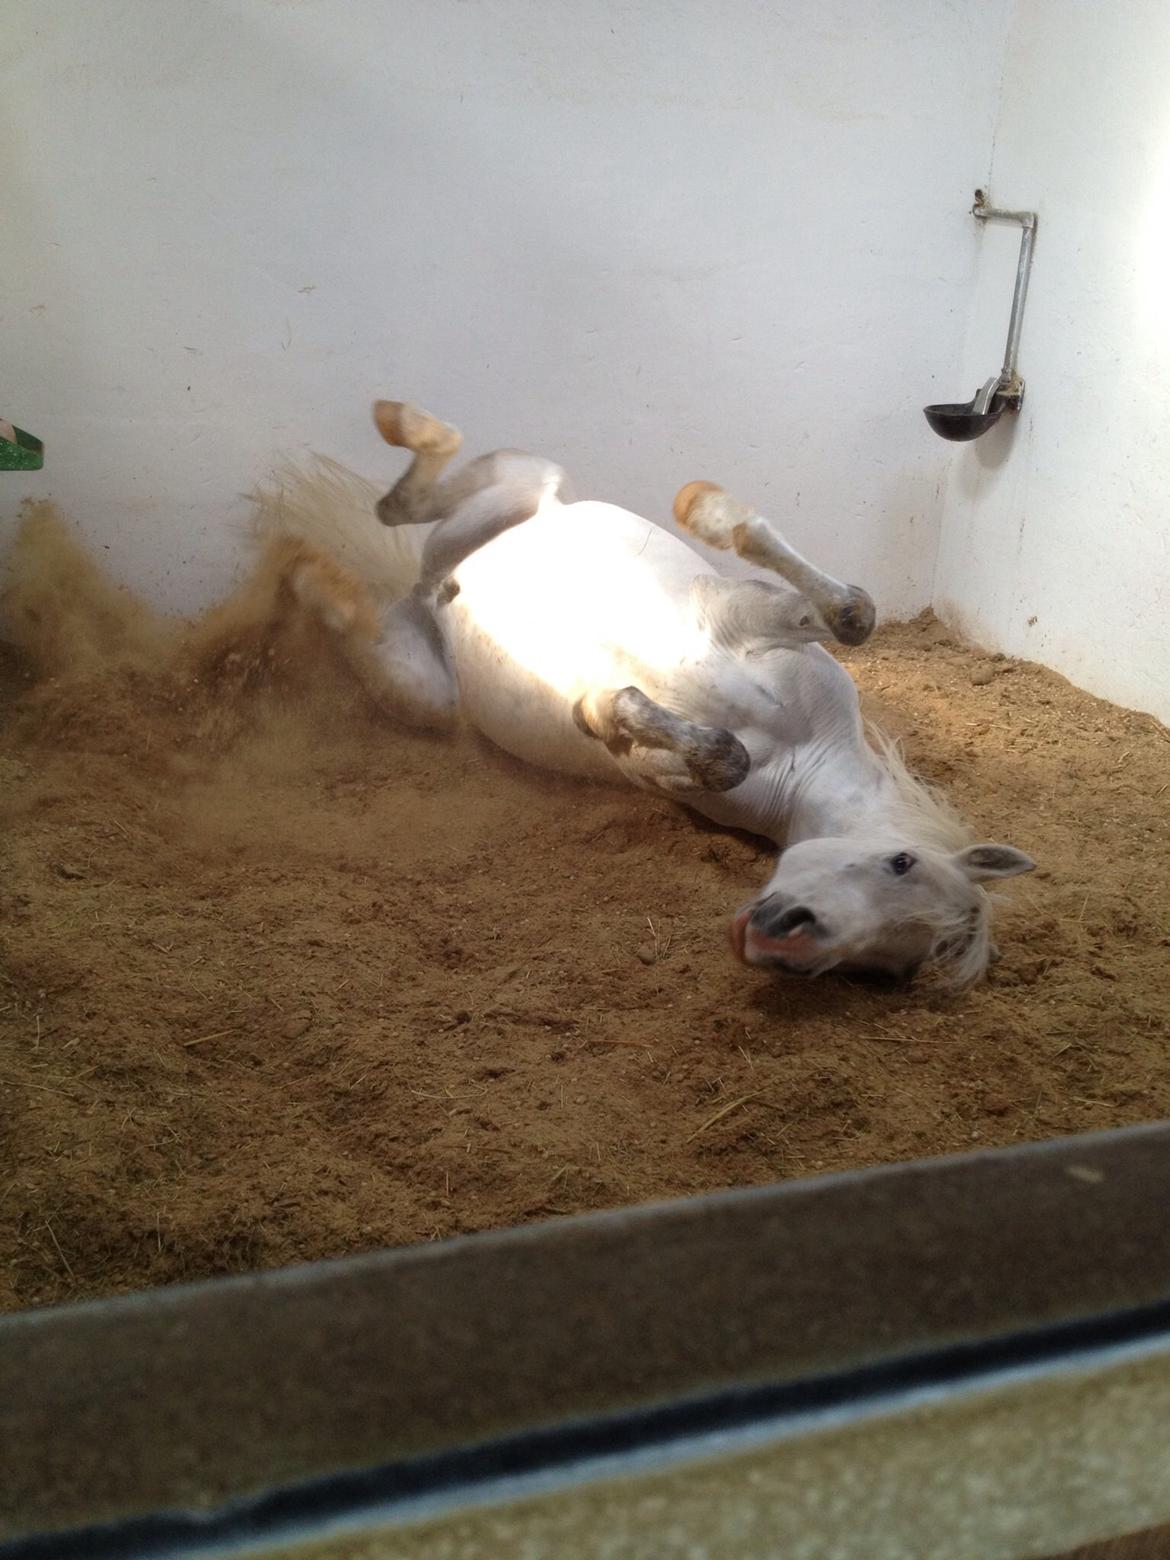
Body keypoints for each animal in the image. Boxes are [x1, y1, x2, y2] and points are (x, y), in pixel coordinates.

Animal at [258, 398, 1035, 987]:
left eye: (884, 967)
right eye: (900, 862)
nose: (784, 936)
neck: (803, 752)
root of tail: (436, 588)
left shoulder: (669, 779)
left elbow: (703, 753)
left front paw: (601, 711)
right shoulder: (744, 620)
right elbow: (849, 614)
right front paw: (711, 515)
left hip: (427, 683)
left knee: (372, 596)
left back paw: (309, 579)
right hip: (517, 490)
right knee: (406, 502)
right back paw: (388, 448)